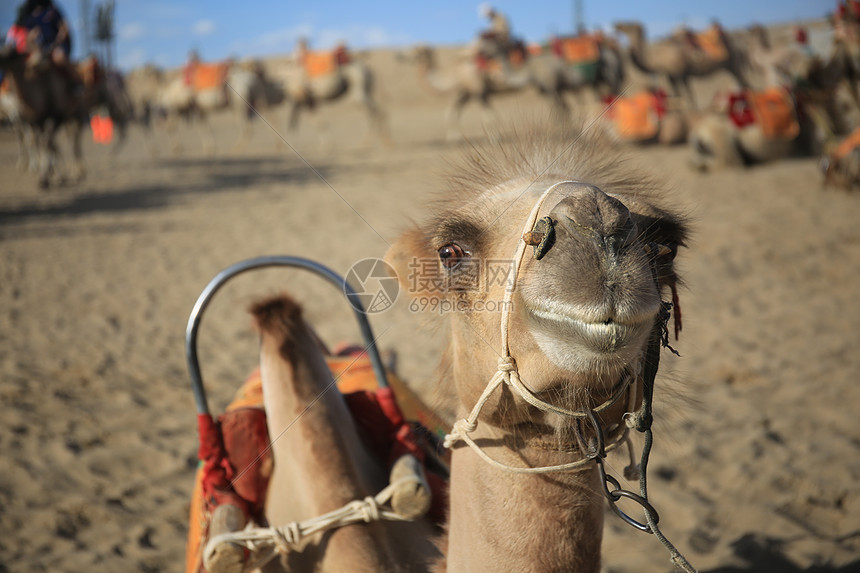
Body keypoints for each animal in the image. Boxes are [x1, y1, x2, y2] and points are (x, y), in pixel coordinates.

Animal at [616, 21, 748, 109]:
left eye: (629, 25)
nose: (616, 24)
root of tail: (738, 44)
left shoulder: (681, 73)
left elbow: (688, 94)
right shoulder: (672, 76)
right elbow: (679, 94)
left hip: (734, 64)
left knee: (742, 82)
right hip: (730, 66)